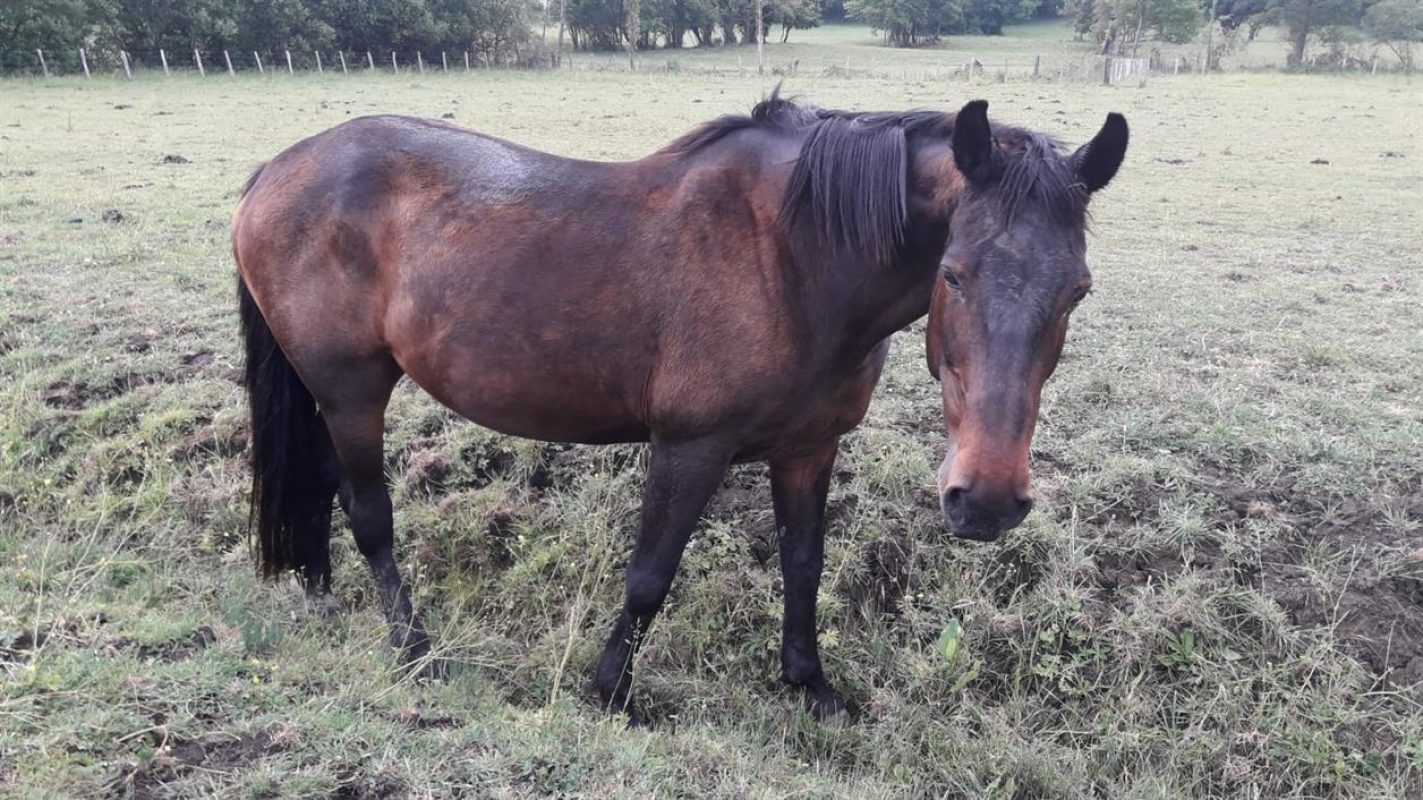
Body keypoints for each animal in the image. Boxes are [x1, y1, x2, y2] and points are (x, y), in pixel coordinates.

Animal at [232, 95, 1127, 725]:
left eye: (1078, 291)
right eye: (953, 274)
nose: (986, 500)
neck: (796, 260)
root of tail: (277, 168)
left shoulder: (808, 448)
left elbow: (803, 565)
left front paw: (810, 687)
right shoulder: (689, 447)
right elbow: (649, 575)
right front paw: (609, 695)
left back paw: (318, 590)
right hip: (353, 390)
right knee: (369, 513)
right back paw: (414, 648)